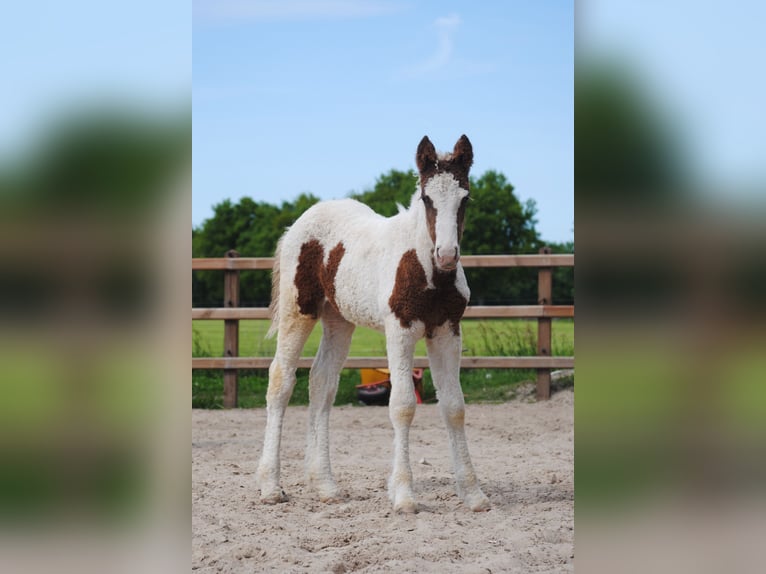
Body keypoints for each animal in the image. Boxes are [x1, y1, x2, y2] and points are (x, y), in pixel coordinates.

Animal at [256, 135, 490, 513]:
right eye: (426, 198)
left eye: (465, 197)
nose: (447, 255)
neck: (424, 268)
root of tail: (299, 223)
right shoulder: (401, 331)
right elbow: (403, 405)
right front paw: (405, 495)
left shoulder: (447, 332)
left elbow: (454, 407)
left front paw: (472, 493)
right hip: (298, 311)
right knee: (281, 381)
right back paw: (270, 486)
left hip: (338, 320)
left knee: (322, 382)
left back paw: (325, 485)